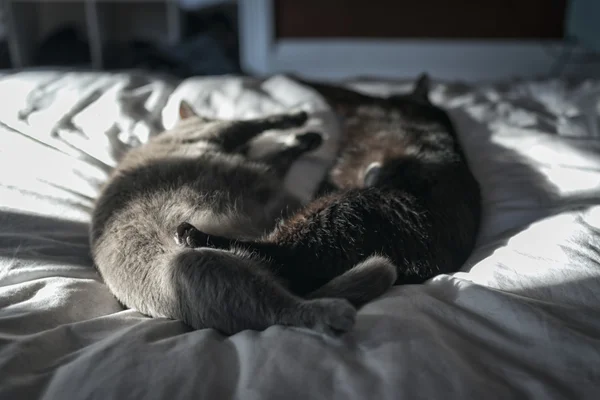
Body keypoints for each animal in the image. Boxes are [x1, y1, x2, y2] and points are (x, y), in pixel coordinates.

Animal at [91, 104, 386, 336]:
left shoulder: (260, 162)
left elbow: (278, 156)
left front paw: (307, 138)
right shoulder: (219, 130)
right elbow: (261, 122)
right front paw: (300, 118)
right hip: (209, 265)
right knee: (285, 310)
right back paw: (338, 311)